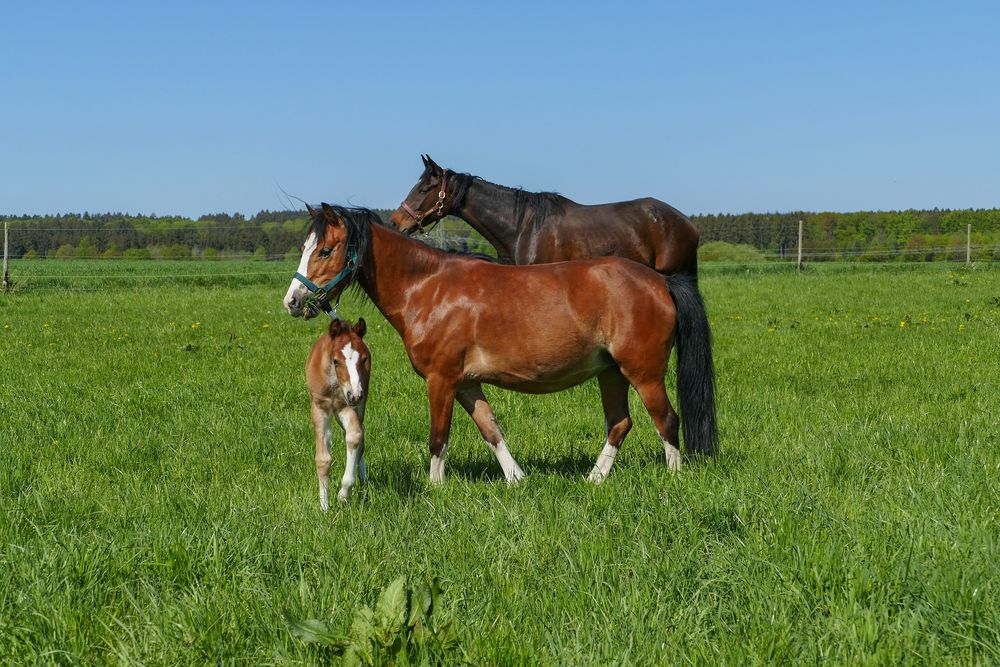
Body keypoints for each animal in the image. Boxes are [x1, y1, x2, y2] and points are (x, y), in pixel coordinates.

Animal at [286, 204, 716, 486]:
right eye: (304, 247)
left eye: (324, 250)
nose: (292, 300)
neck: (427, 287)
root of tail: (660, 281)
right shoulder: (466, 384)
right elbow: (491, 429)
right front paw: (516, 478)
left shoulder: (441, 381)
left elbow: (438, 437)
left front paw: (434, 488)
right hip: (610, 373)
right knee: (619, 424)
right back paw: (593, 479)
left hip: (643, 373)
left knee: (667, 421)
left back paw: (674, 479)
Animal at [304, 318, 372, 506]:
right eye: (336, 361)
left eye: (364, 359)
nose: (355, 394)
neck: (334, 384)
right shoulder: (319, 408)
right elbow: (323, 459)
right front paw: (324, 506)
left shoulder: (346, 406)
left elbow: (355, 436)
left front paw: (344, 494)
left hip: (359, 406)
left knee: (359, 439)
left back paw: (363, 481)